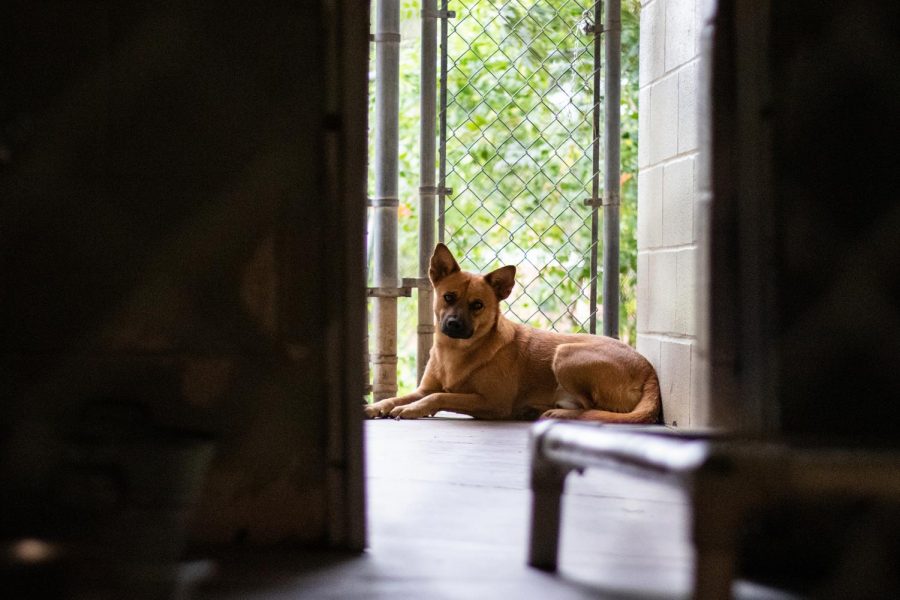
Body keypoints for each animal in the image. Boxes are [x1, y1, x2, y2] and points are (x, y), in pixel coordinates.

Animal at [364, 244, 660, 422]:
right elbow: (399, 396)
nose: (454, 325)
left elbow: (441, 396)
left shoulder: (492, 402)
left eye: (478, 305)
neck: (457, 352)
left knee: (591, 408)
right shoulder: (423, 388)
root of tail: (649, 371)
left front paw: (414, 409)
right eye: (448, 297)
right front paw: (377, 406)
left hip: (566, 353)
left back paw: (556, 414)